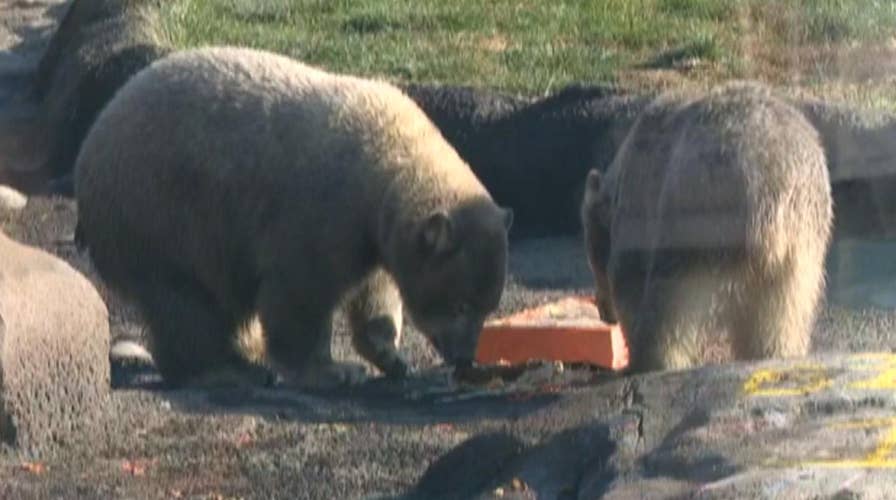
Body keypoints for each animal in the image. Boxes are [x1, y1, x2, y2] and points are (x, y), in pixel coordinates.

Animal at [74, 46, 513, 389]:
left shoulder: (370, 232)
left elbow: (374, 288)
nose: (464, 357)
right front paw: (333, 371)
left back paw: (244, 349)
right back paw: (224, 370)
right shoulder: (320, 209)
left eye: (489, 305)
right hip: (154, 215)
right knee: (183, 301)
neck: (386, 155)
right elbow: (301, 290)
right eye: (460, 305)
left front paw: (392, 356)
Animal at [582, 81, 833, 373]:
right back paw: (775, 352)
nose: (602, 311)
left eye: (592, 258)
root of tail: (774, 179)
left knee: (671, 296)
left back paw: (653, 358)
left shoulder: (640, 201)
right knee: (784, 310)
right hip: (803, 242)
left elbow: (629, 278)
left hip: (701, 211)